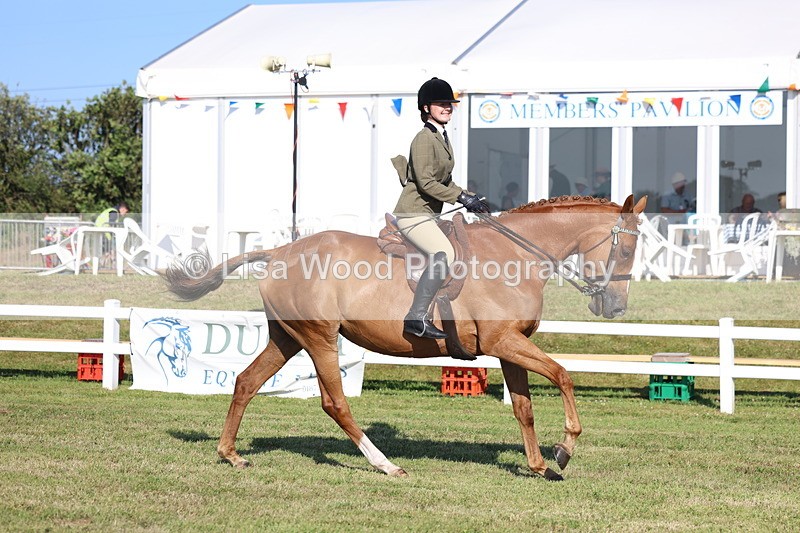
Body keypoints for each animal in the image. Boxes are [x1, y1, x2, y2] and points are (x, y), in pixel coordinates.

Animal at [165, 194, 647, 481]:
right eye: (625, 249)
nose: (615, 307)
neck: (516, 255)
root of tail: (281, 251)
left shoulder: (511, 347)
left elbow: (524, 409)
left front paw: (540, 464)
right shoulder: (503, 342)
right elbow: (564, 375)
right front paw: (564, 449)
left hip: (288, 338)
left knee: (246, 382)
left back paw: (230, 454)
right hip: (319, 338)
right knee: (335, 403)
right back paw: (386, 464)